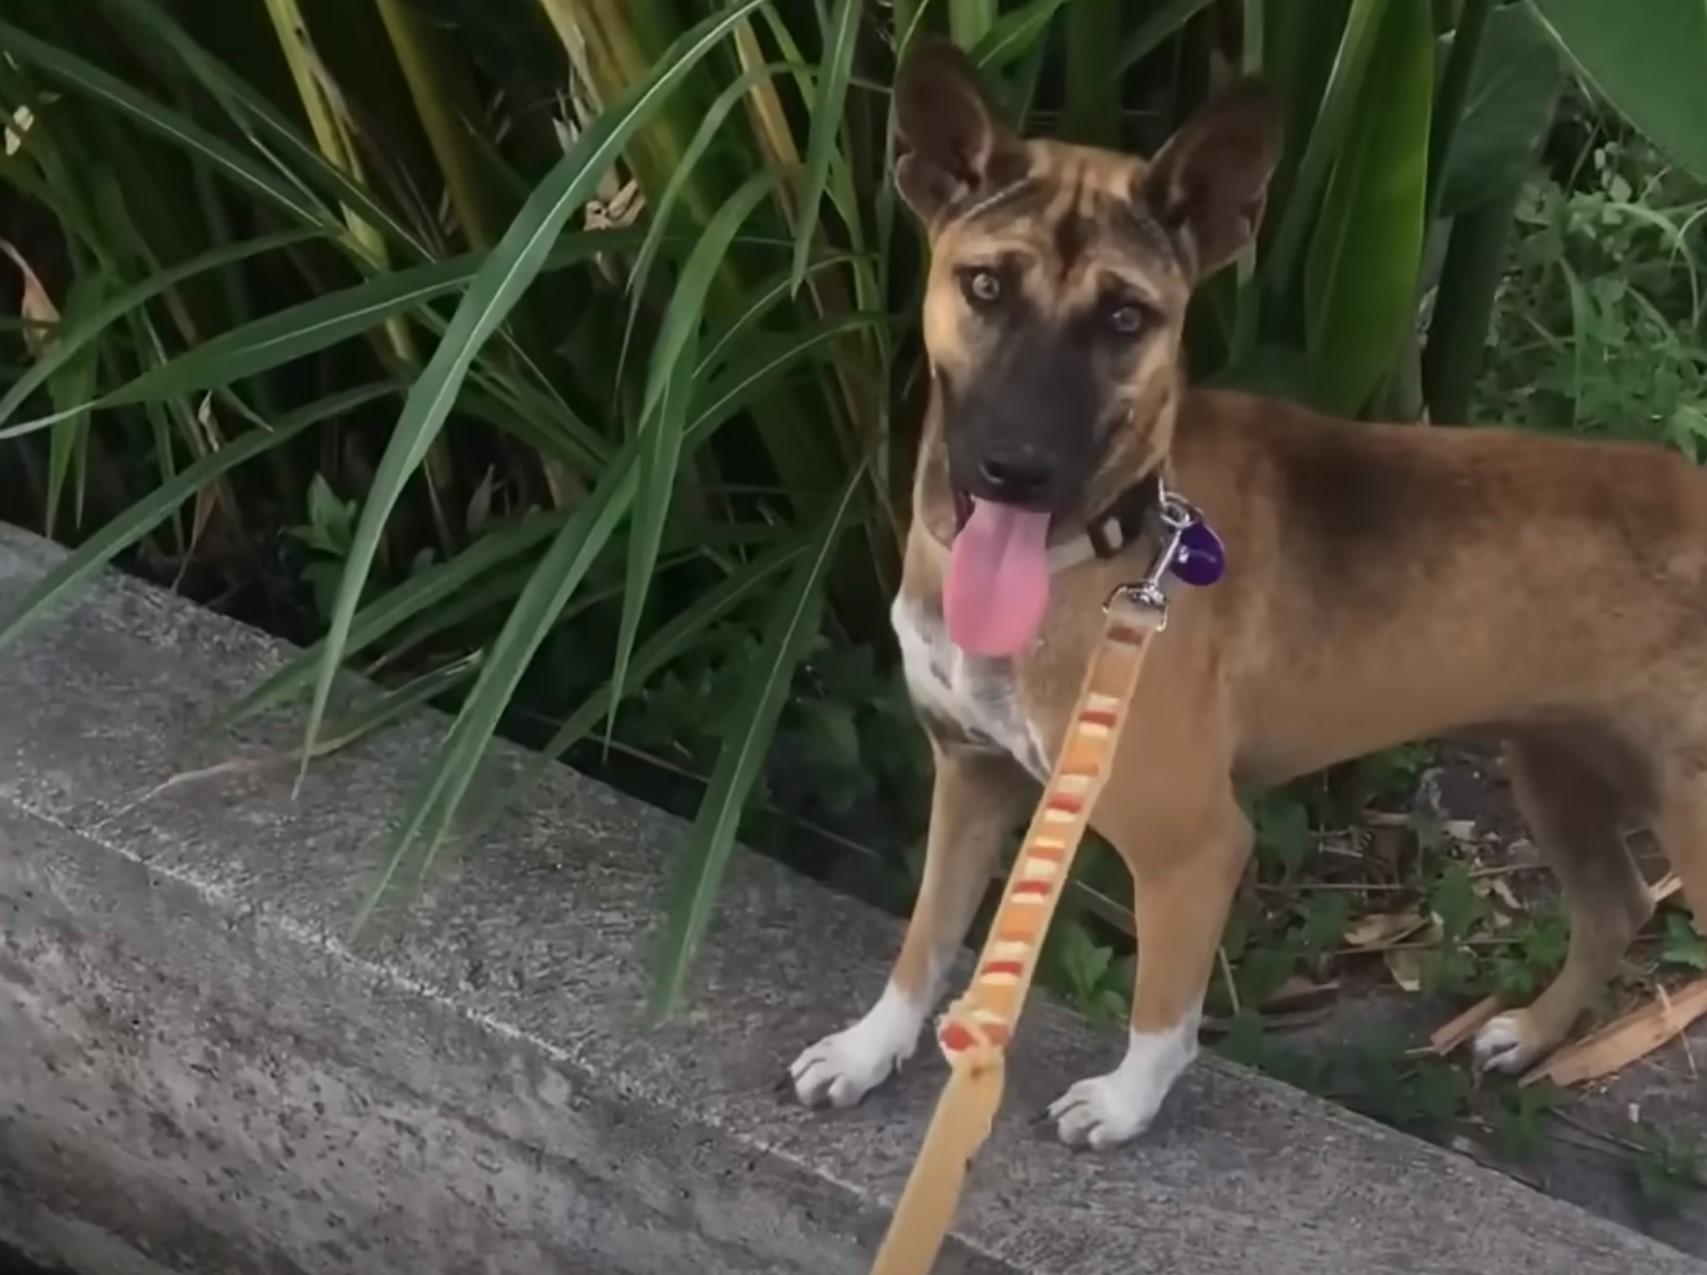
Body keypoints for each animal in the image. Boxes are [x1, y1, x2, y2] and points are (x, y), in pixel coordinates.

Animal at [788, 37, 1707, 1146]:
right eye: (984, 285)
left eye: (1127, 317)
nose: (1018, 469)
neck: (1100, 545)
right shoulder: (969, 773)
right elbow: (924, 941)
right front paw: (869, 1049)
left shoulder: (1191, 842)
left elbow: (1161, 1009)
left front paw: (1125, 1104)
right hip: (1559, 762)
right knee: (1616, 904)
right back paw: (1527, 1034)